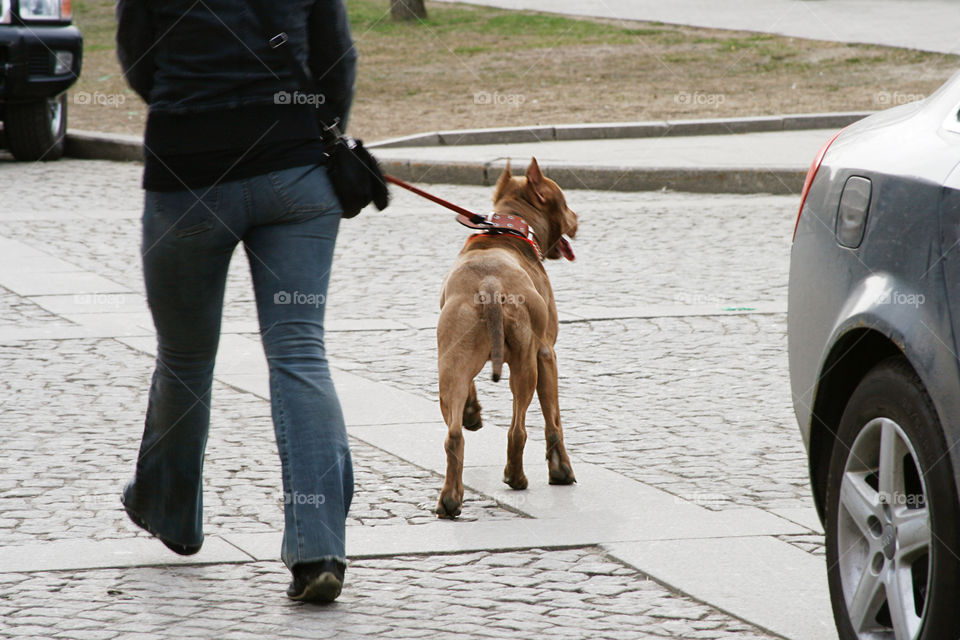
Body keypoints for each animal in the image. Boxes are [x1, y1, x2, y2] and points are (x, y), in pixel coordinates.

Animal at [436, 156, 576, 520]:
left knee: (453, 435)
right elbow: (554, 421)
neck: (505, 232)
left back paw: (450, 500)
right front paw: (561, 471)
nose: (577, 218)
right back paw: (516, 477)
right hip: (526, 367)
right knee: (518, 430)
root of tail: (490, 283)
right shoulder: (547, 354)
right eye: (565, 201)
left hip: (450, 365)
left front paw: (472, 413)